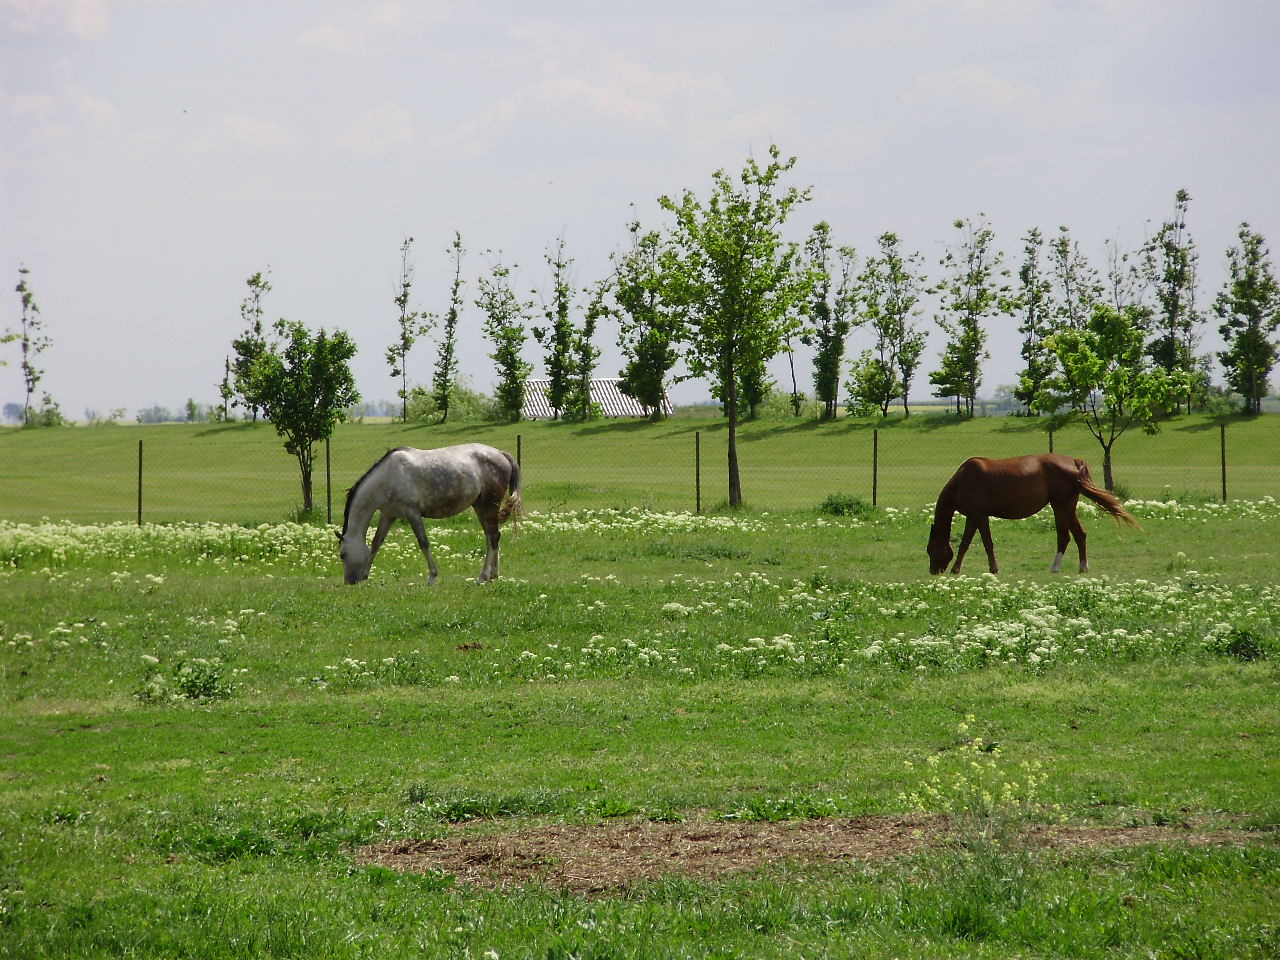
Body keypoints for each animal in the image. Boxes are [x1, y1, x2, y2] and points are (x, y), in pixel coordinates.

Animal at [931, 455, 1141, 576]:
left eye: (930, 550)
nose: (933, 571)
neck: (964, 480)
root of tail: (1074, 462)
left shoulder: (979, 515)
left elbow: (985, 543)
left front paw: (992, 569)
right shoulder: (973, 517)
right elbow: (965, 544)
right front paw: (957, 569)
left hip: (1060, 507)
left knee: (1064, 537)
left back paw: (1055, 568)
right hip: (1069, 508)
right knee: (1080, 535)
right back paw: (1083, 567)